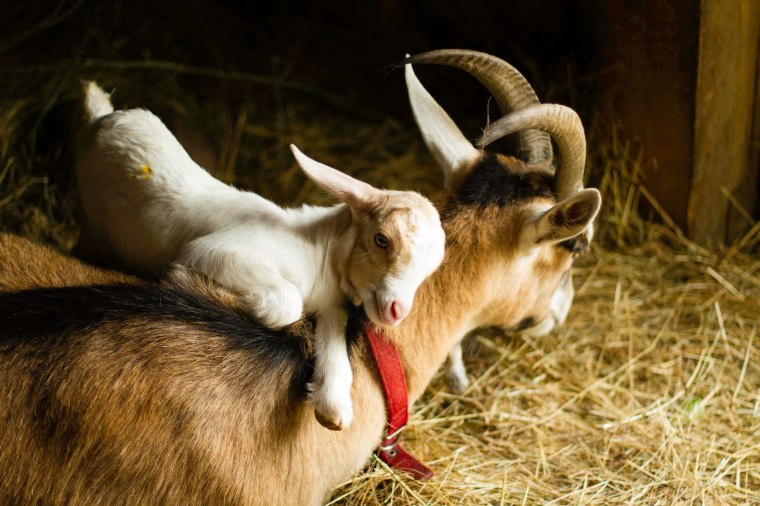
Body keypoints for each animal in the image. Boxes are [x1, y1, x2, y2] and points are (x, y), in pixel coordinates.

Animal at [73, 83, 446, 430]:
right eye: (381, 239)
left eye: (431, 268)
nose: (397, 311)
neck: (316, 251)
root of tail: (107, 115)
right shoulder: (216, 252)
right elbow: (286, 303)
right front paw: (186, 281)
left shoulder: (329, 305)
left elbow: (334, 348)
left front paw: (333, 405)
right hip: (93, 221)